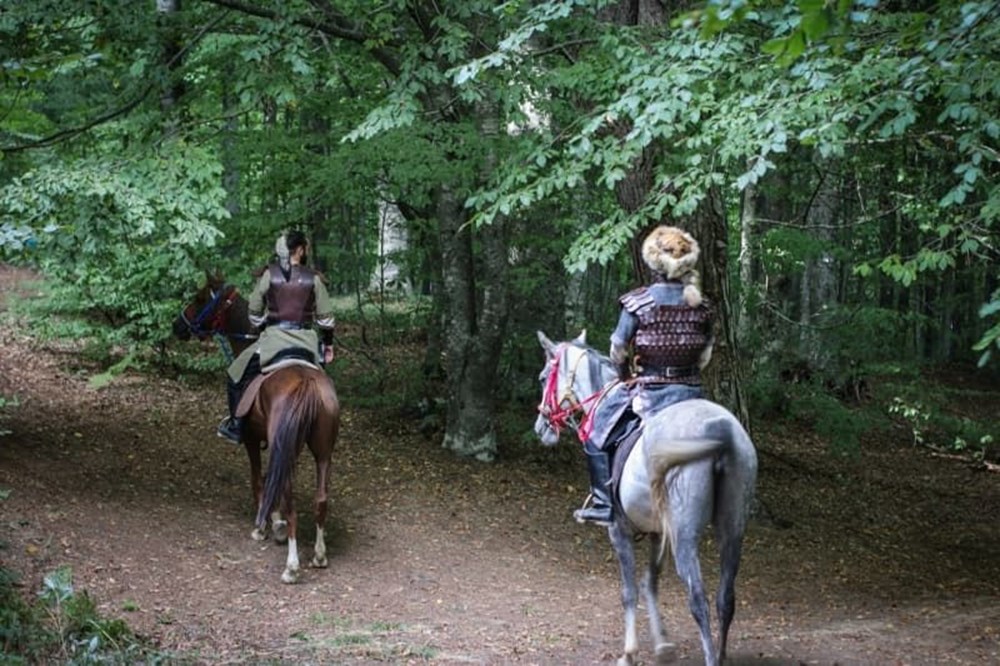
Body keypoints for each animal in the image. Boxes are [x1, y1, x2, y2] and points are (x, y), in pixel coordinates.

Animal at [174, 272, 342, 580]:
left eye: (200, 298)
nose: (177, 325)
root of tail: (307, 383)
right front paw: (273, 522)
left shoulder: (251, 440)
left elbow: (258, 480)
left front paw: (265, 525)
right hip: (323, 451)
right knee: (320, 500)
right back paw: (319, 555)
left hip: (287, 449)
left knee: (290, 501)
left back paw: (291, 566)